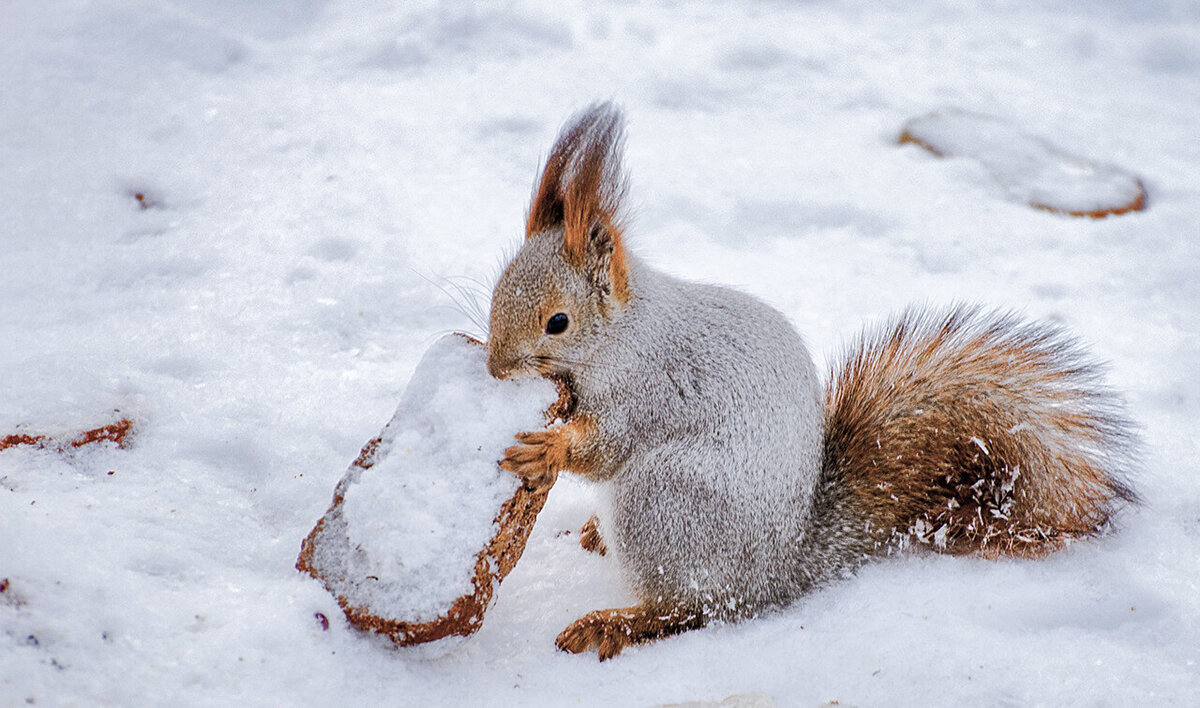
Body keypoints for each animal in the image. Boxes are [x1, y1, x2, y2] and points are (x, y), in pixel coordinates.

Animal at [480, 102, 1132, 662]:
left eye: (557, 322)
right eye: (496, 290)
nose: (495, 368)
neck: (620, 334)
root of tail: (780, 572)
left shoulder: (648, 388)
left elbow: (607, 443)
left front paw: (550, 447)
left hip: (663, 500)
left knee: (688, 609)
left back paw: (615, 621)